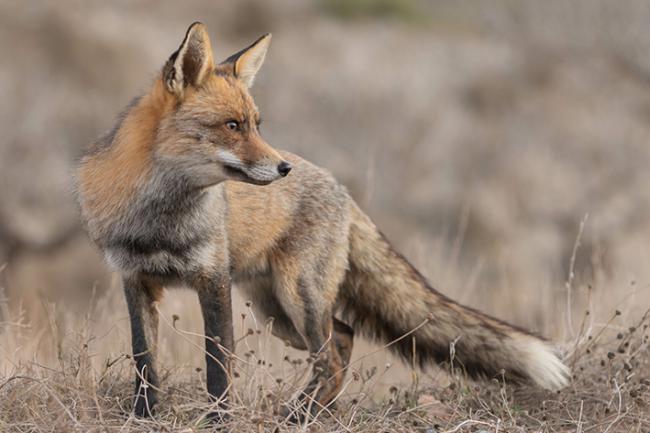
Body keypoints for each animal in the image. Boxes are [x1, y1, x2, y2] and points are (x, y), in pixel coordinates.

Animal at [76, 22, 568, 420]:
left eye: (257, 124)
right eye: (232, 126)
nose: (283, 169)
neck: (159, 218)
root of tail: (342, 189)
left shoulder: (212, 279)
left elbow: (218, 365)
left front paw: (218, 420)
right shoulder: (135, 279)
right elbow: (144, 361)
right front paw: (144, 416)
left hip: (299, 298)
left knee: (332, 353)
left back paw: (302, 416)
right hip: (276, 311)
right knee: (344, 339)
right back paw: (313, 411)